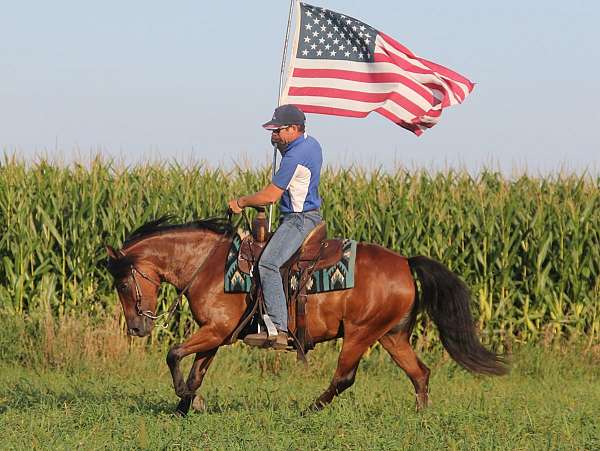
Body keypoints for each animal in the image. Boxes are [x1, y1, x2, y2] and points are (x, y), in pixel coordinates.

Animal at [106, 215, 506, 416]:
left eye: (123, 283)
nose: (137, 327)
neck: (211, 265)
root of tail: (406, 263)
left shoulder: (216, 330)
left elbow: (173, 354)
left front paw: (185, 398)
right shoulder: (216, 333)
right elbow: (196, 370)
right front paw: (186, 404)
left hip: (360, 333)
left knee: (344, 378)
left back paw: (309, 410)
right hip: (391, 335)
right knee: (420, 373)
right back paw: (421, 418)